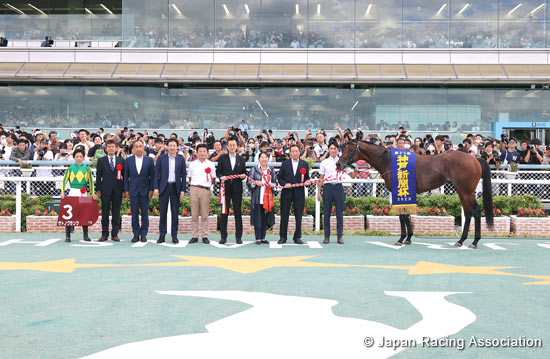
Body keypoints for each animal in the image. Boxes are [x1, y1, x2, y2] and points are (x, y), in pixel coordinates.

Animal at [336, 141, 496, 250]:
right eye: (343, 148)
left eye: (351, 149)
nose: (338, 164)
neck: (389, 161)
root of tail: (475, 159)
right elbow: (405, 215)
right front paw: (408, 238)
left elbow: (402, 215)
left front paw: (401, 239)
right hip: (461, 191)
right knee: (468, 214)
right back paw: (461, 241)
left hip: (466, 192)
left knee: (476, 212)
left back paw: (474, 242)